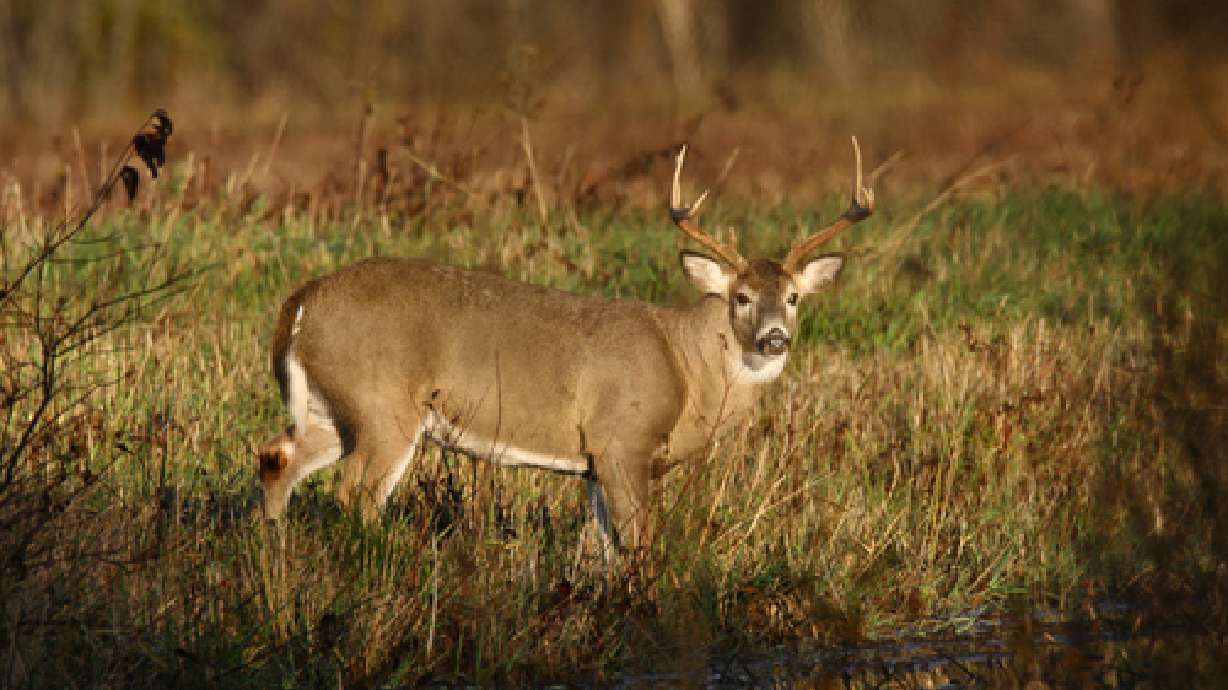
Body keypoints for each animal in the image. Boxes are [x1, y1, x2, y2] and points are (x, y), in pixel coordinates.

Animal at [255, 137, 875, 552]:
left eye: (793, 297)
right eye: (741, 297)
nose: (774, 336)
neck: (683, 363)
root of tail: (302, 302)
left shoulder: (595, 463)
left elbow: (600, 551)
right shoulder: (622, 438)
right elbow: (637, 545)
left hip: (330, 408)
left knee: (277, 459)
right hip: (384, 404)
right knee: (356, 492)